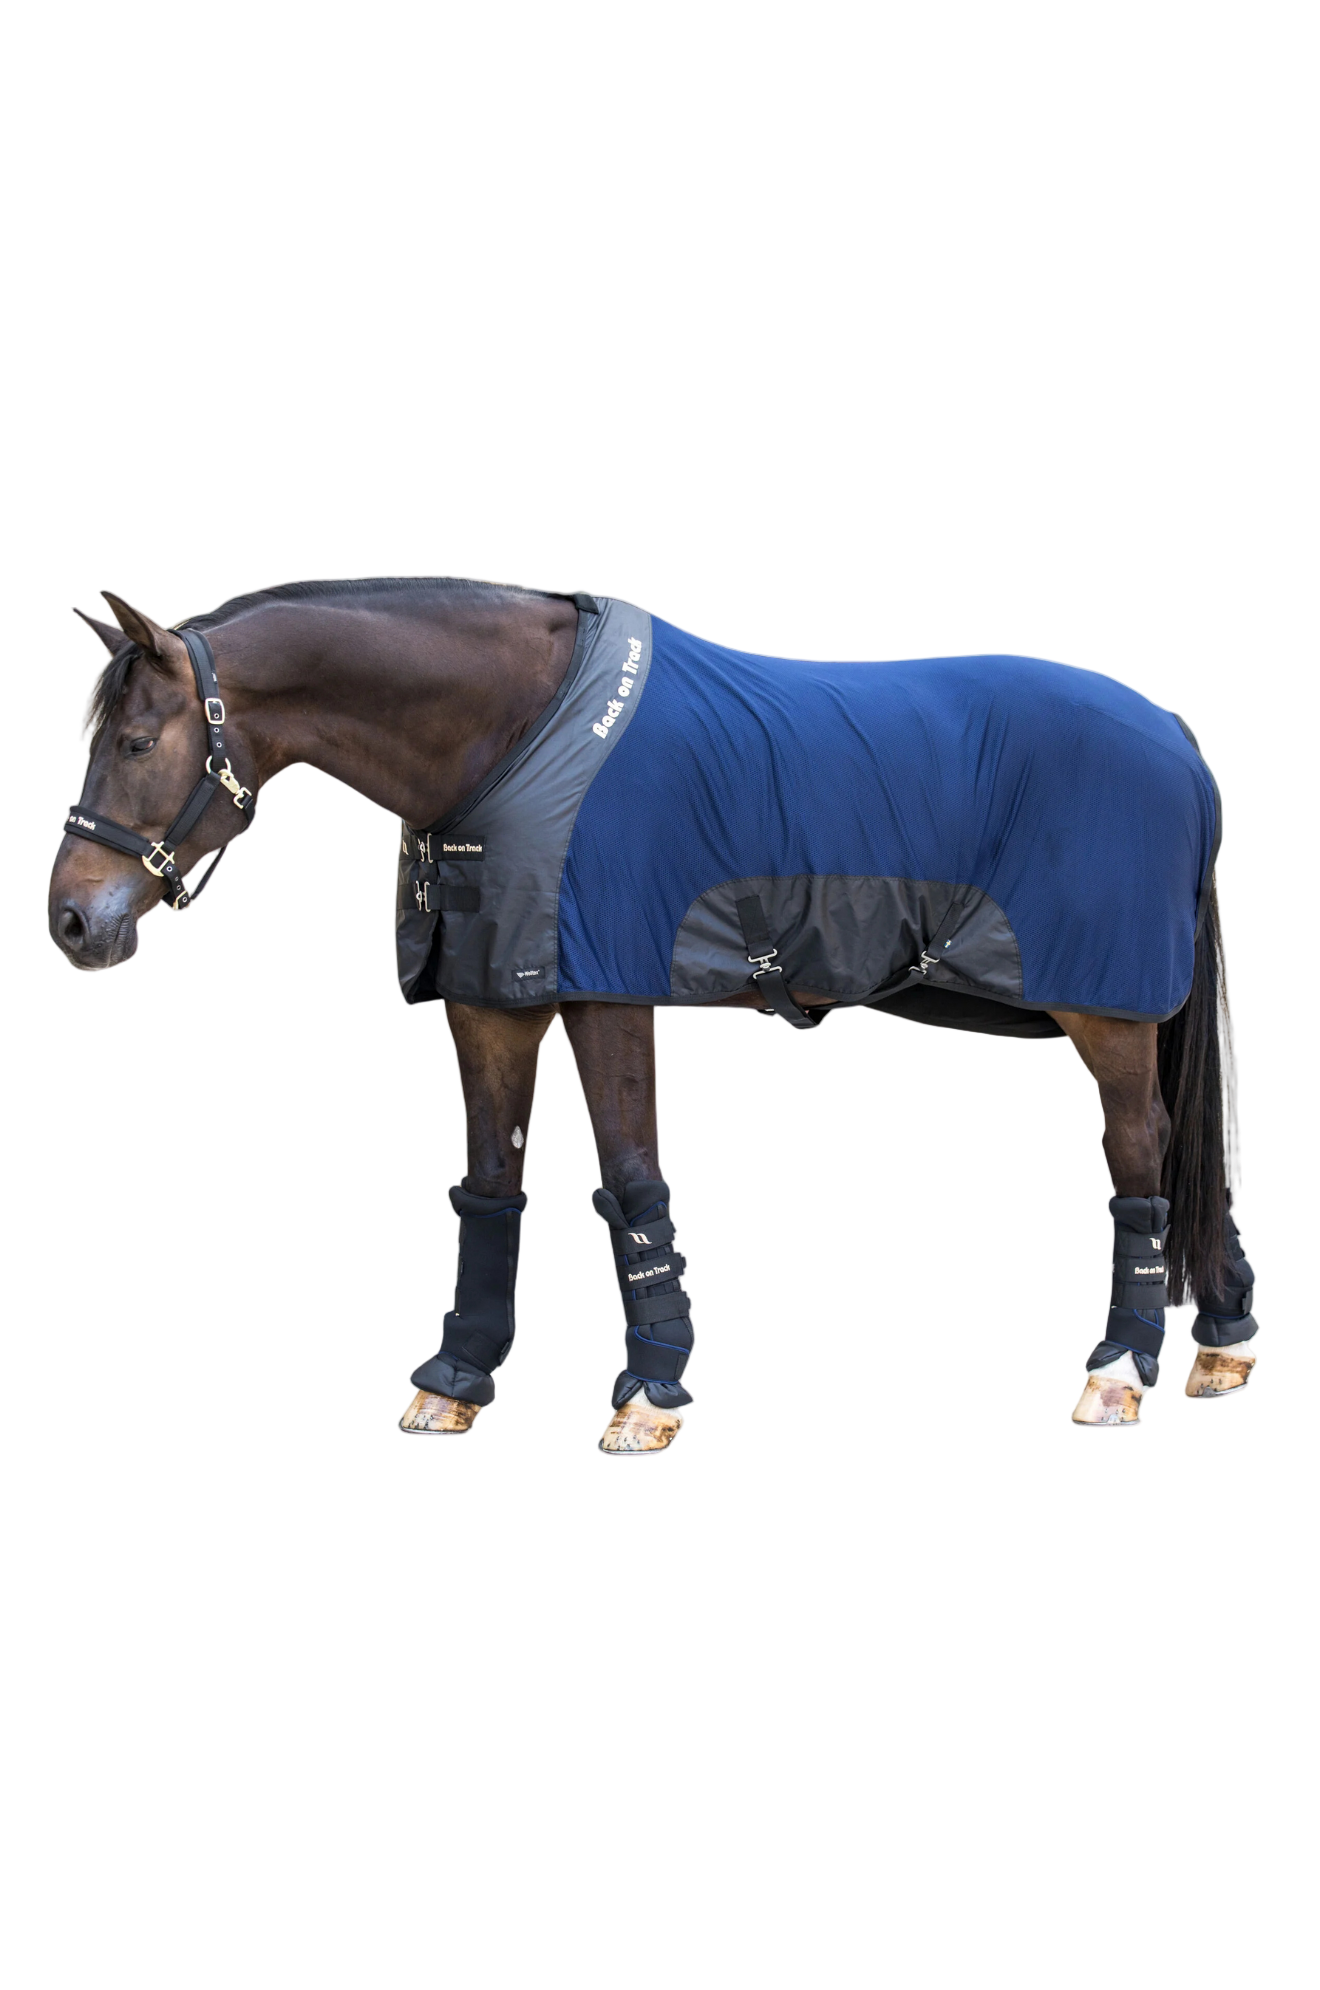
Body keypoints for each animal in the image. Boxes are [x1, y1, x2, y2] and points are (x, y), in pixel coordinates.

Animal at [48, 578, 1258, 1449]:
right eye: (92, 739)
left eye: (140, 742)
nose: (71, 921)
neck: (518, 735)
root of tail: (1177, 734)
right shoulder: (492, 1000)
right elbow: (490, 1185)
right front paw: (455, 1381)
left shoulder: (609, 990)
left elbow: (631, 1181)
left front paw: (648, 1392)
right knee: (1195, 1160)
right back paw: (1219, 1349)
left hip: (1105, 1011)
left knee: (1143, 1151)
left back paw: (1118, 1372)